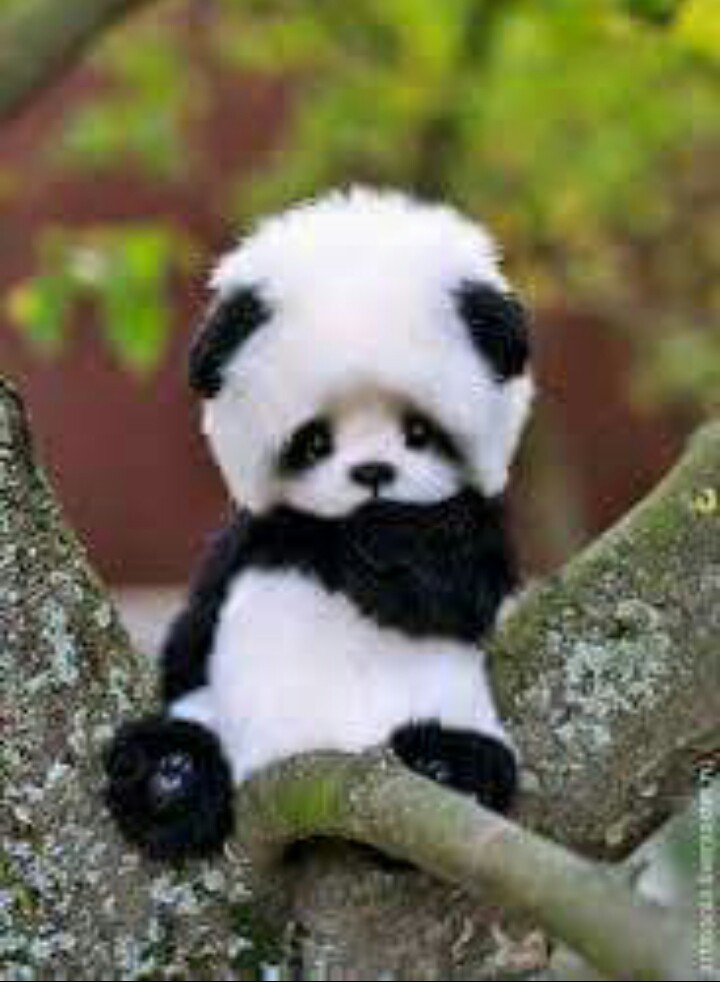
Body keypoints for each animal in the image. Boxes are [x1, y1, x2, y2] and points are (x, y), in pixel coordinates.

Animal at [104, 187, 534, 862]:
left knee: (484, 762)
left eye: (419, 432)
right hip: (217, 718)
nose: (373, 472)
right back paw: (168, 777)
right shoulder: (251, 536)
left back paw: (443, 766)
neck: (333, 535)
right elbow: (189, 640)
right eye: (314, 442)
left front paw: (396, 544)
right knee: (186, 736)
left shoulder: (476, 526)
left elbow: (460, 592)